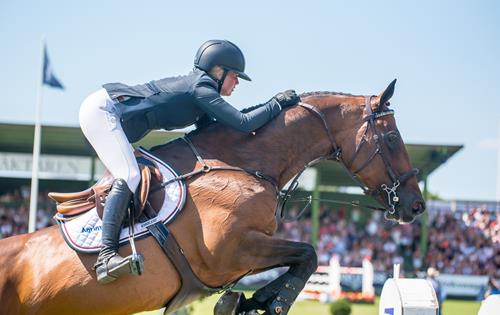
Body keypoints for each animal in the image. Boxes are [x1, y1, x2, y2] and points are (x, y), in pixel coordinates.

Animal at [0, 80, 426, 314]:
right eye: (391, 138)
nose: (416, 205)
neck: (240, 166)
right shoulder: (232, 252)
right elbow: (309, 254)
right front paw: (263, 303)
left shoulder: (243, 253)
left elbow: (302, 260)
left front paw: (249, 302)